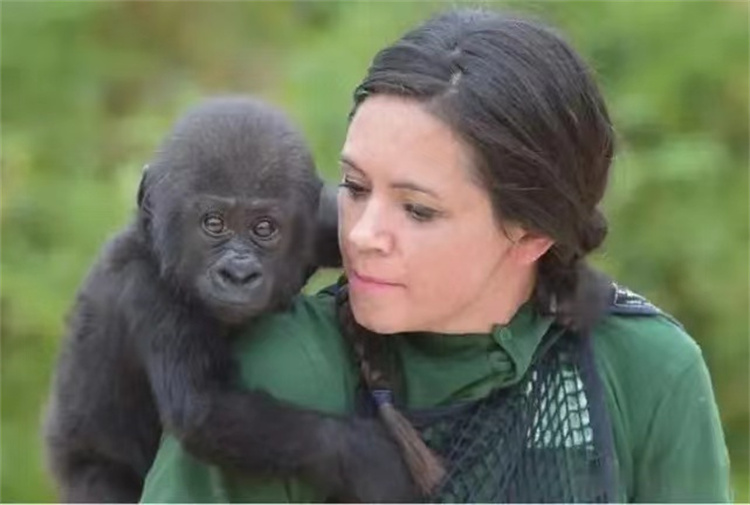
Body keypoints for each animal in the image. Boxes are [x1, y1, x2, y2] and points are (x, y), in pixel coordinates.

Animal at [43, 96, 418, 502]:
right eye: (214, 223)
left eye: (264, 228)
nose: (238, 274)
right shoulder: (149, 292)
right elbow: (203, 407)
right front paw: (366, 457)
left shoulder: (323, 223)